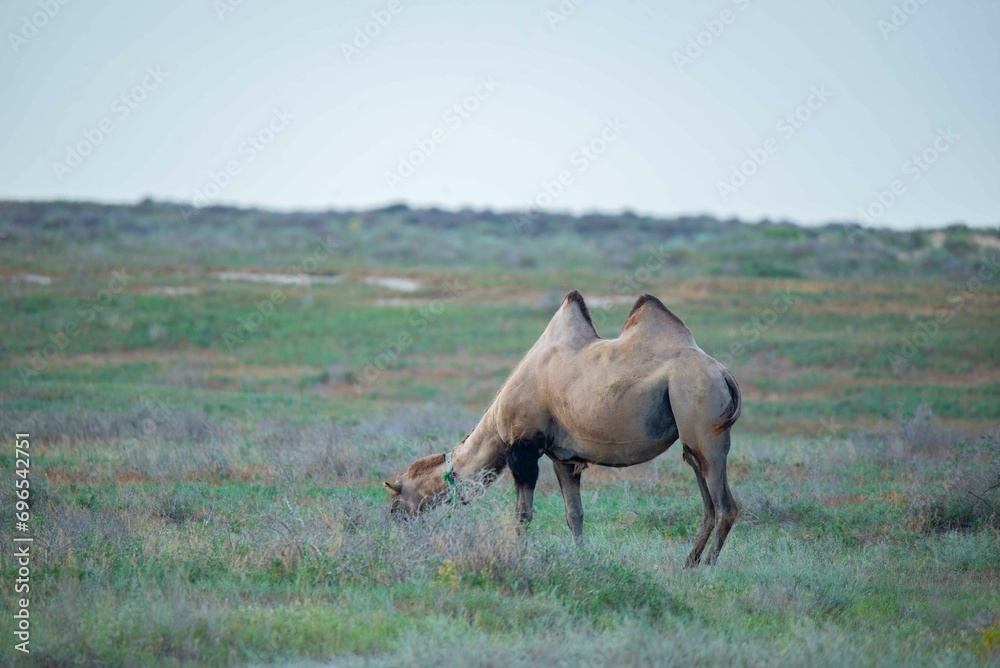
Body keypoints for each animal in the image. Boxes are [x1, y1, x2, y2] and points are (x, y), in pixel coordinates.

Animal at [384, 291, 741, 566]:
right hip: (693, 441)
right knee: (707, 499)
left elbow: (523, 515)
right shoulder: (564, 458)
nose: (390, 520)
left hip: (703, 416)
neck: (496, 429)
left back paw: (708, 566)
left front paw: (521, 556)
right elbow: (574, 515)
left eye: (396, 493)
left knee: (726, 506)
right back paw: (690, 561)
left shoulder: (524, 448)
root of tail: (724, 374)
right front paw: (581, 558)